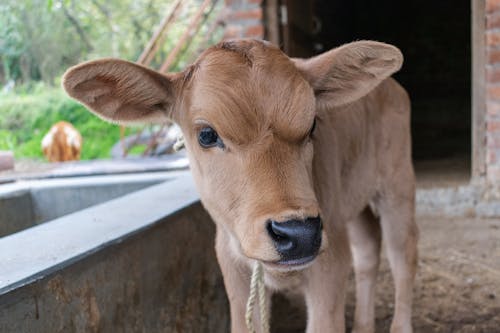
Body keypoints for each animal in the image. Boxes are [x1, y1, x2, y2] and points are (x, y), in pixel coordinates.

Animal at [62, 39, 418, 332]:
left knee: (403, 259)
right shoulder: (232, 265)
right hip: (352, 206)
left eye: (313, 124)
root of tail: (392, 87)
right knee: (368, 251)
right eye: (207, 134)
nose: (299, 233)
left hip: (397, 186)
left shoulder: (329, 265)